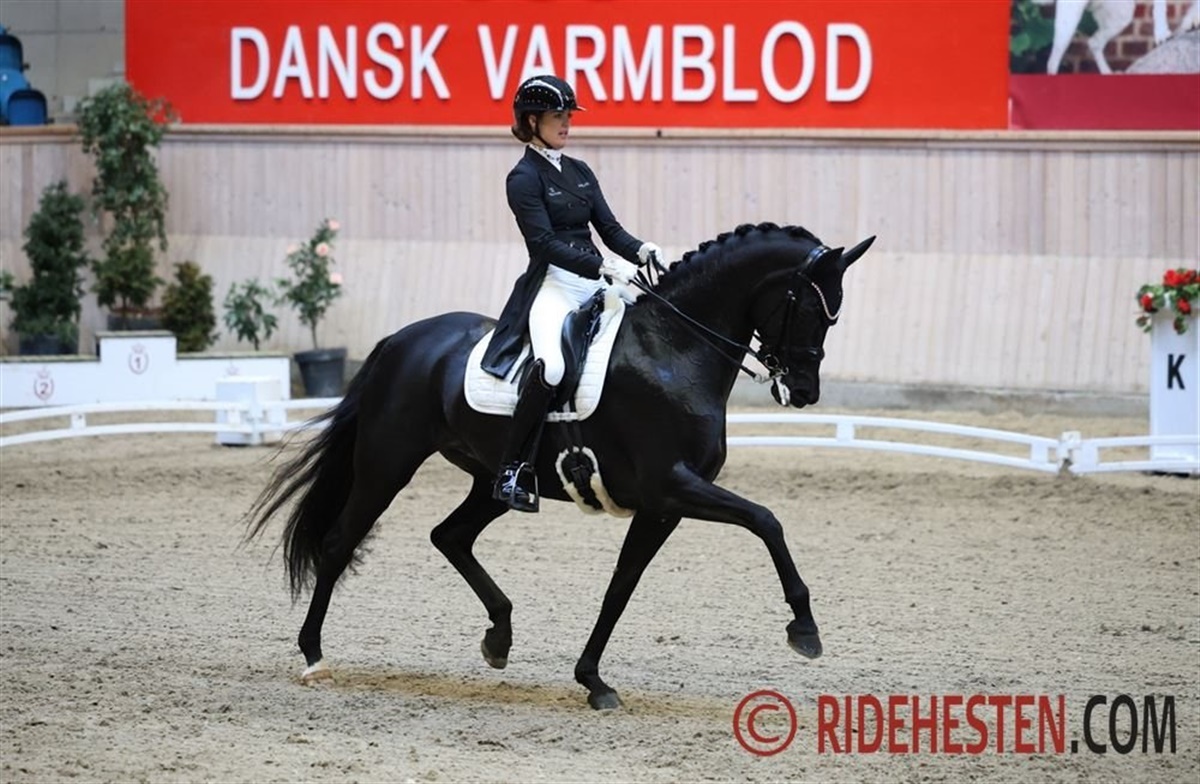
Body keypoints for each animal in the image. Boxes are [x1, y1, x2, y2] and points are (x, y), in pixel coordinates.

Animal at [246, 222, 875, 710]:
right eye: (809, 308)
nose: (805, 391)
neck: (673, 349)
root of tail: (400, 339)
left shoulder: (662, 506)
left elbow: (622, 585)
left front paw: (593, 680)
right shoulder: (672, 486)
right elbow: (767, 520)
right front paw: (805, 630)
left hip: (491, 480)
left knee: (450, 535)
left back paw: (498, 637)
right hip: (387, 463)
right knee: (339, 543)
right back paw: (314, 657)